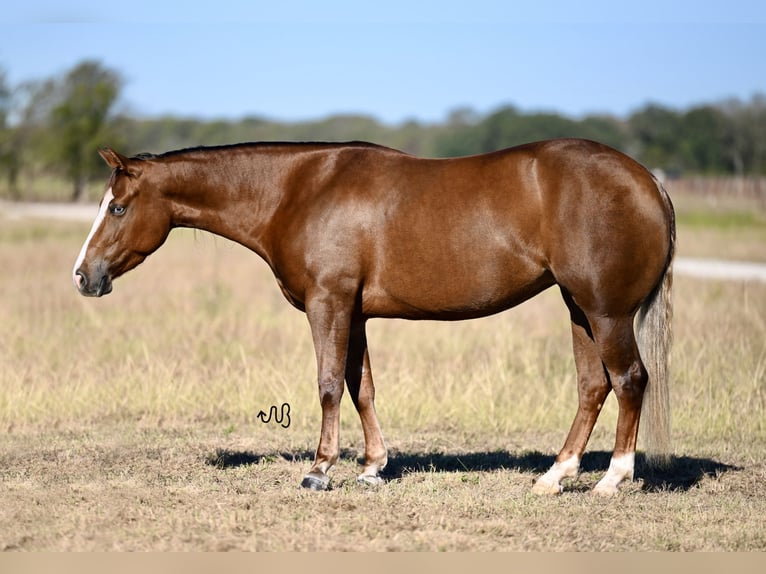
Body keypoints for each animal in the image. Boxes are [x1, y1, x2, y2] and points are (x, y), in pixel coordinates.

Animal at [75, 138, 676, 496]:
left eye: (118, 207)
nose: (84, 276)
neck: (297, 191)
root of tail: (649, 181)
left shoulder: (329, 303)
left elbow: (327, 385)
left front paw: (320, 470)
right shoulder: (356, 313)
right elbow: (359, 386)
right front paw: (371, 467)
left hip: (605, 311)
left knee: (629, 379)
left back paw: (612, 479)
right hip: (579, 309)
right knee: (593, 385)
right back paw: (556, 475)